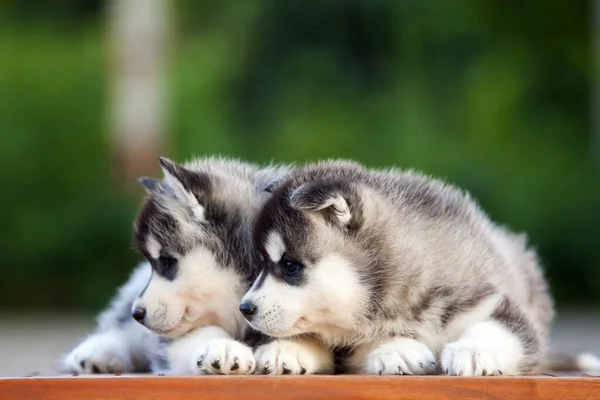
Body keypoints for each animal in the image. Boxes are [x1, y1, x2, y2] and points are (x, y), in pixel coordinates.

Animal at [62, 156, 288, 376]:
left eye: (166, 262)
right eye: (154, 263)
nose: (137, 313)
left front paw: (282, 350)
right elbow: (199, 333)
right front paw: (222, 346)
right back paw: (96, 352)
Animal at [240, 159, 556, 376]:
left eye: (290, 266)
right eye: (261, 264)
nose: (245, 308)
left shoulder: (488, 298)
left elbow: (502, 329)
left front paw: (474, 351)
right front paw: (287, 349)